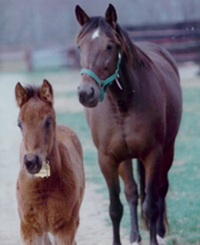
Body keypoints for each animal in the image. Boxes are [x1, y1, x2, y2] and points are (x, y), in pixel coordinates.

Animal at [75, 3, 183, 245]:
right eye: (80, 47)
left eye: (109, 46)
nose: (86, 93)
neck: (123, 106)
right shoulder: (108, 159)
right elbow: (116, 208)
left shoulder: (153, 154)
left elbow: (151, 205)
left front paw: (154, 238)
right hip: (125, 158)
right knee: (132, 192)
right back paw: (134, 235)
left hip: (168, 150)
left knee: (160, 190)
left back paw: (160, 232)